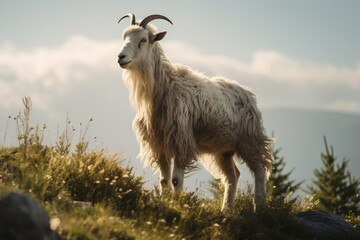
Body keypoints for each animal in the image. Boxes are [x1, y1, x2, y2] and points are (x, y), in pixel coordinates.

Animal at [118, 14, 272, 211]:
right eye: (124, 37)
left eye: (143, 40)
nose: (121, 57)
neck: (166, 88)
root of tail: (248, 93)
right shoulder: (159, 145)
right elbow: (163, 181)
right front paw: (165, 203)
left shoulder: (181, 141)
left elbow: (175, 180)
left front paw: (177, 205)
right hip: (223, 149)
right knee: (233, 176)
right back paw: (226, 209)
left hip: (249, 140)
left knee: (259, 171)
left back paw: (259, 207)